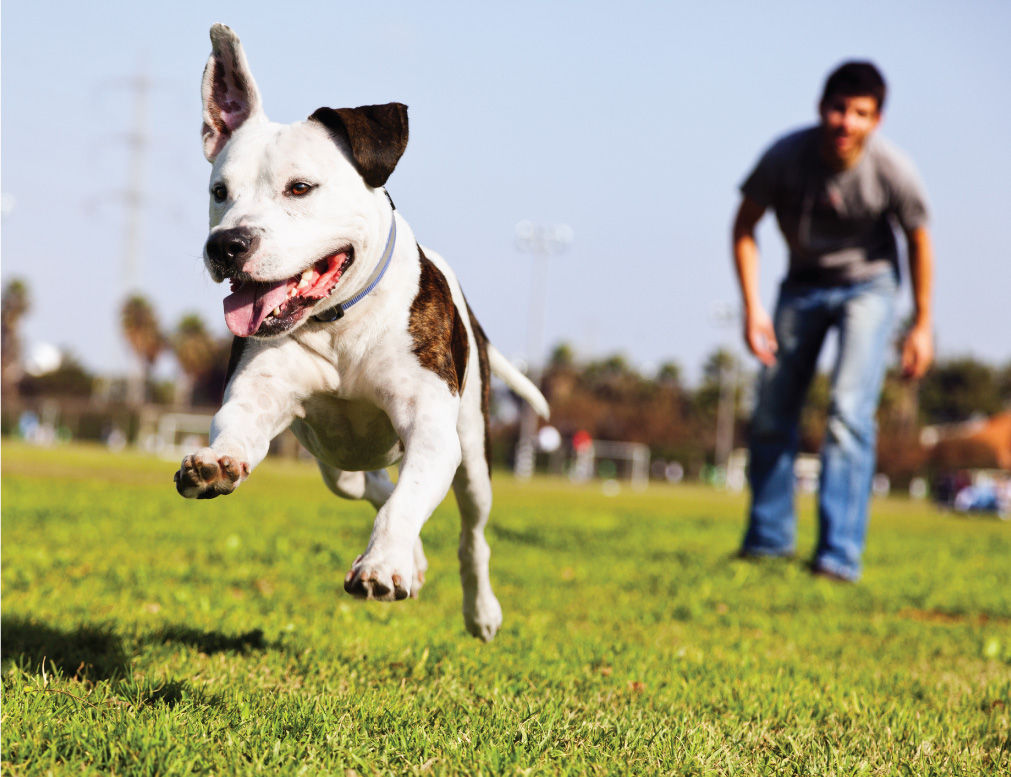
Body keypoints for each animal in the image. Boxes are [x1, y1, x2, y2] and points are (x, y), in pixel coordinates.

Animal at [177, 25, 549, 642]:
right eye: (219, 191)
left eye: (300, 187)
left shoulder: (431, 429)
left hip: (474, 454)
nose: (226, 245)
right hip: (335, 463)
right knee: (369, 486)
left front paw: (383, 565)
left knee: (470, 532)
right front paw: (216, 463)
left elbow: (409, 500)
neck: (339, 322)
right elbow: (237, 427)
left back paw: (479, 609)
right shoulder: (258, 396)